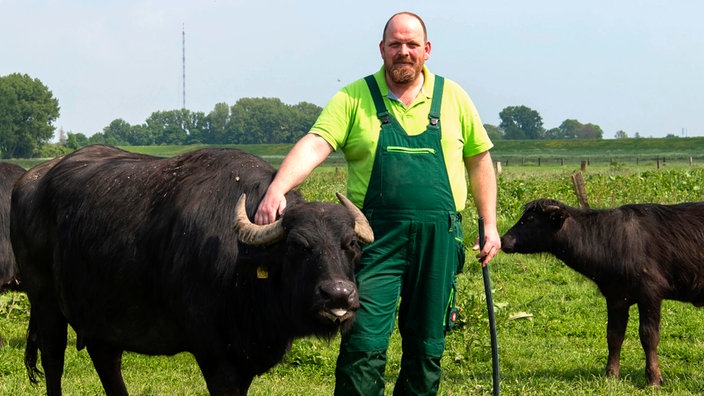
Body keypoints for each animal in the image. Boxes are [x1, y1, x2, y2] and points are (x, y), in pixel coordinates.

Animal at [12, 145, 374, 396]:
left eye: (351, 245)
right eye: (298, 247)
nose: (338, 295)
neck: (242, 267)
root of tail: (29, 180)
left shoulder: (244, 355)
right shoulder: (215, 356)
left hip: (102, 315)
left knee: (107, 361)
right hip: (44, 301)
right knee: (53, 360)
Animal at [500, 198, 704, 386]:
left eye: (530, 219)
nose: (503, 240)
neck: (611, 242)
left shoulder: (650, 294)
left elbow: (649, 336)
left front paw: (653, 379)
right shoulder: (615, 297)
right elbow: (614, 335)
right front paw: (610, 375)